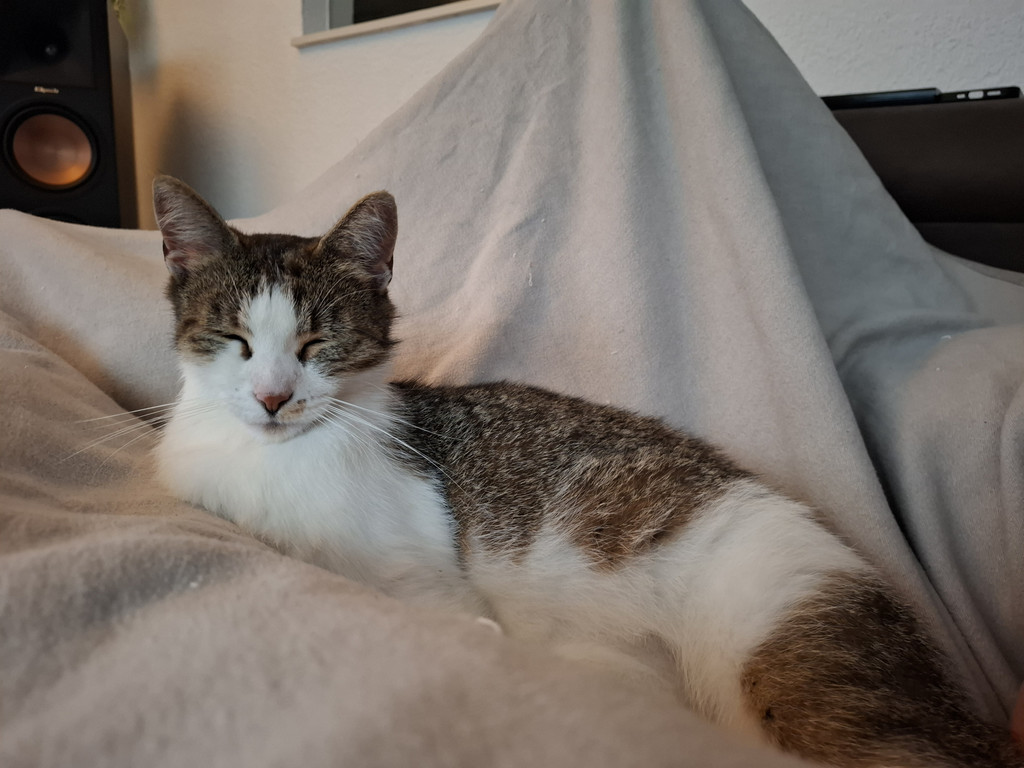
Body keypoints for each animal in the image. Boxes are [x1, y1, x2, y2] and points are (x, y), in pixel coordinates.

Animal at [151, 174, 1021, 768]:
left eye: (317, 343)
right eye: (233, 339)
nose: (272, 398)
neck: (279, 461)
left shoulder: (428, 579)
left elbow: (452, 619)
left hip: (792, 634)